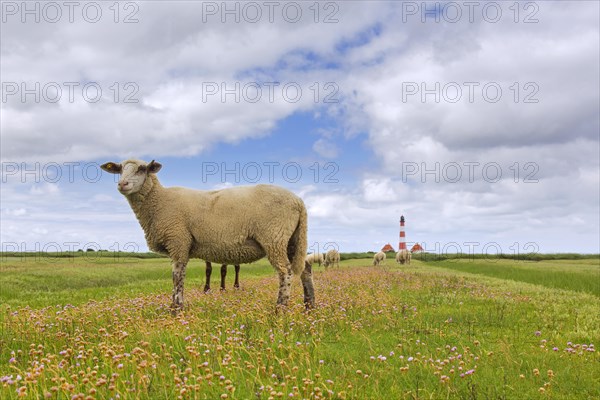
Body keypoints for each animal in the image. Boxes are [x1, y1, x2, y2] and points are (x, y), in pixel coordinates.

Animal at [101, 159, 316, 312]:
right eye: (120, 169)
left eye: (142, 169)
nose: (122, 184)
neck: (159, 202)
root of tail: (298, 201)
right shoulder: (181, 243)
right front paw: (176, 307)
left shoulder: (178, 240)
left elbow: (177, 277)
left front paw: (176, 309)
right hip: (292, 239)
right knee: (305, 269)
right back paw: (309, 307)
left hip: (274, 237)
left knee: (286, 271)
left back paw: (280, 309)